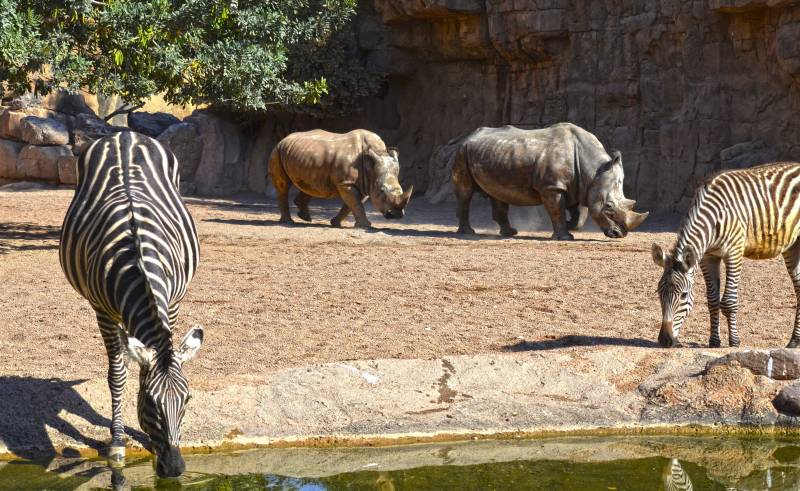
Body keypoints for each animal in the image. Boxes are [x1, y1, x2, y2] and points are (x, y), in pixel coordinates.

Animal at [59, 131, 202, 476]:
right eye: (149, 402)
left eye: (188, 399)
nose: (175, 468)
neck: (138, 258)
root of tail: (125, 134)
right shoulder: (102, 311)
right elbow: (117, 374)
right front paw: (117, 442)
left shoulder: (173, 302)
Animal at [652, 163, 800, 348]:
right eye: (659, 292)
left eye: (684, 295)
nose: (665, 340)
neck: (714, 218)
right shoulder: (708, 257)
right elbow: (712, 300)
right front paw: (714, 341)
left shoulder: (734, 253)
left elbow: (729, 301)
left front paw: (734, 341)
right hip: (792, 246)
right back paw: (794, 341)